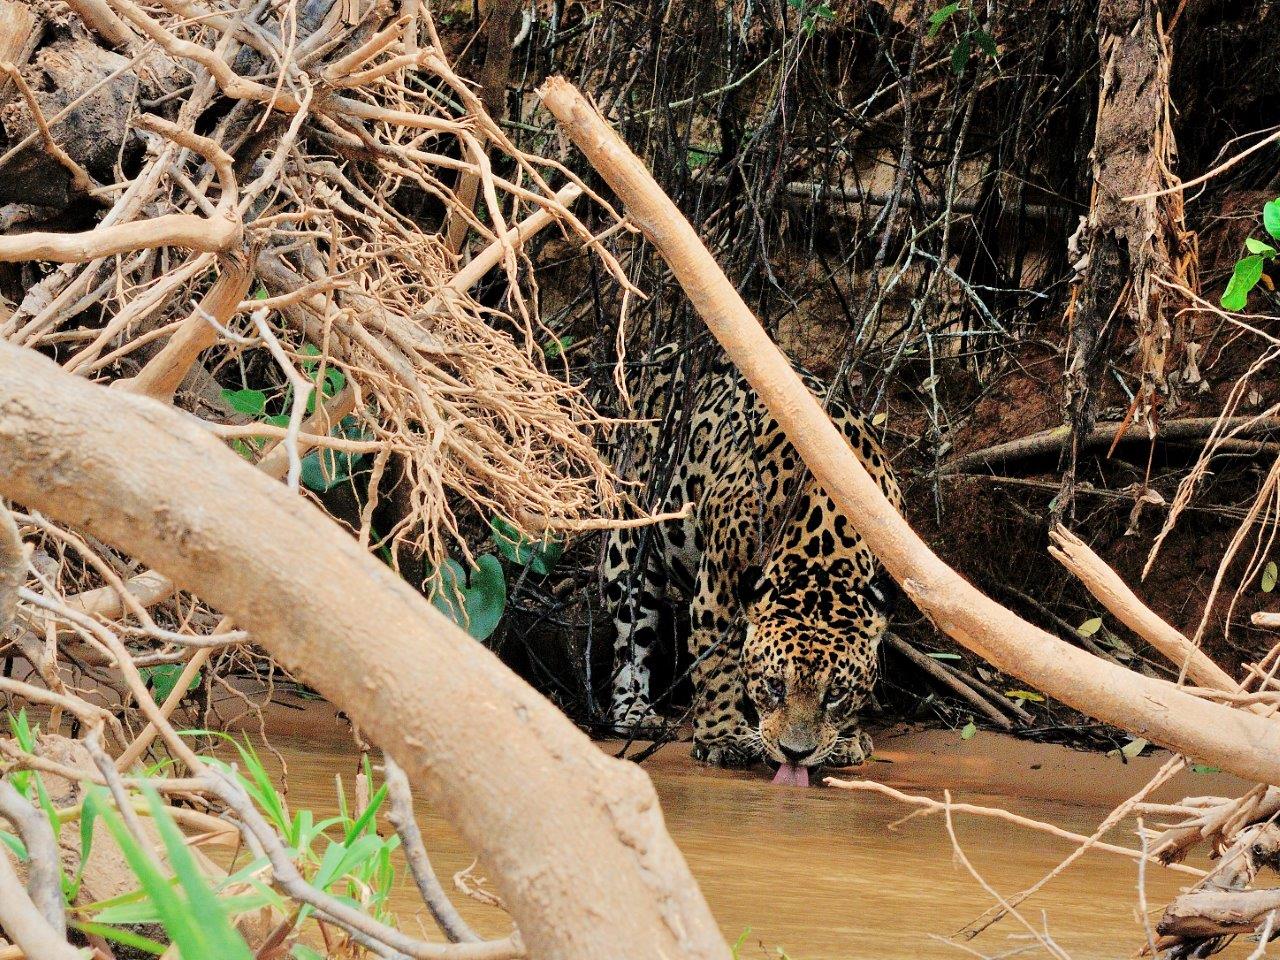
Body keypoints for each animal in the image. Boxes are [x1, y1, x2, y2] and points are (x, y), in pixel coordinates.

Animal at [602, 343, 902, 775]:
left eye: (836, 693)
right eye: (774, 685)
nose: (796, 753)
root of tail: (663, 351)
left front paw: (846, 738)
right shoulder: (718, 590)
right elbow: (717, 667)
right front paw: (722, 738)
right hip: (629, 541)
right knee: (630, 636)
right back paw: (633, 712)